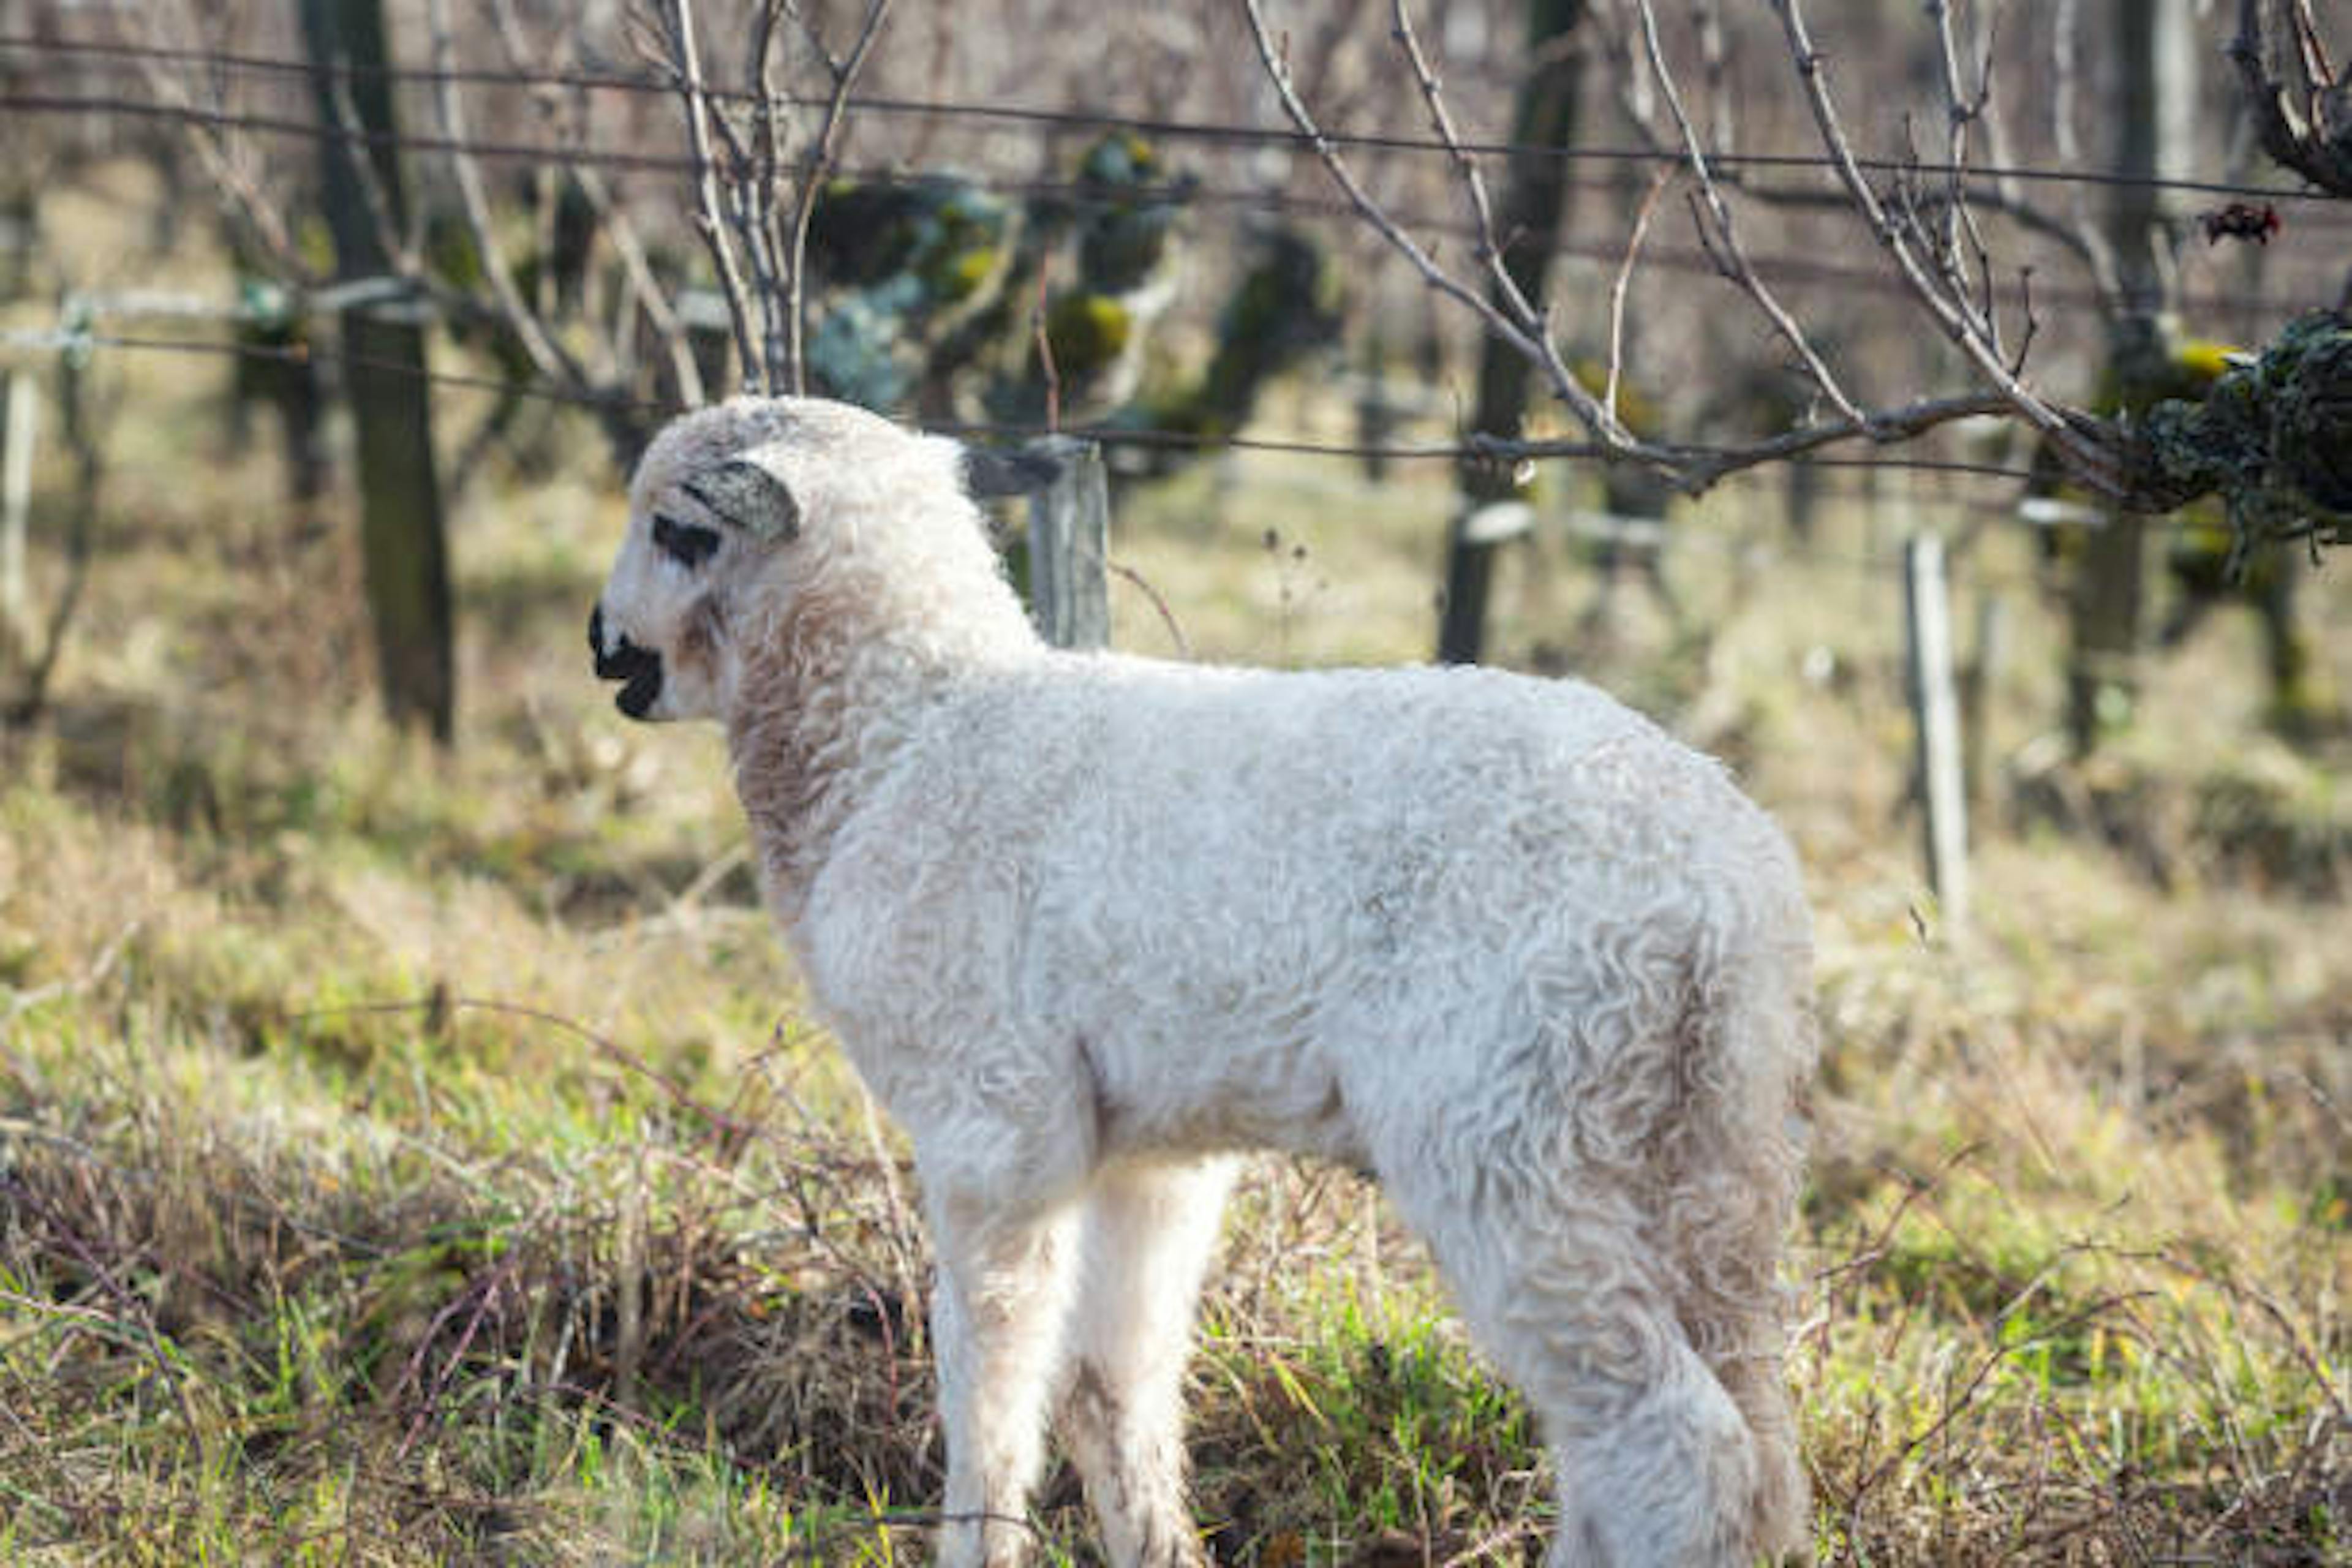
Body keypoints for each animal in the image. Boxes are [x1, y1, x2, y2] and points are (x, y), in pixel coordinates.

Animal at [589, 395, 1818, 1568]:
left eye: (679, 532)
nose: (604, 647)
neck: (905, 739)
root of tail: (1724, 885)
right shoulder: (1147, 1155)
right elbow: (1112, 1385)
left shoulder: (994, 1123)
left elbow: (992, 1387)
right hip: (1701, 1151)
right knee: (1733, 1442)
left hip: (1517, 1132)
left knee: (1675, 1447)